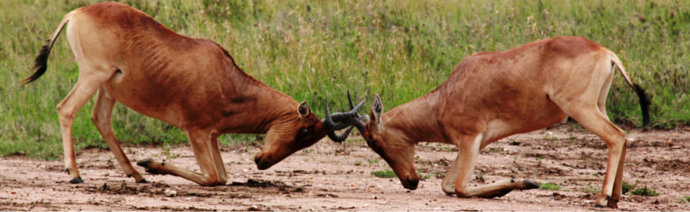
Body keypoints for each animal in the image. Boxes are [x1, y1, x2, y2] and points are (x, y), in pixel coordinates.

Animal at [20, 2, 358, 186]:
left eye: (309, 139)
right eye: (304, 131)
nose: (262, 161)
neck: (224, 76)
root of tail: (76, 13)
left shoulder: (211, 136)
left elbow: (222, 176)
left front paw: (149, 164)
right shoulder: (194, 131)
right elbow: (213, 178)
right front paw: (152, 162)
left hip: (109, 87)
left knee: (100, 119)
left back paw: (136, 174)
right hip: (93, 75)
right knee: (66, 109)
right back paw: (76, 174)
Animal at [330, 36, 648, 207]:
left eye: (375, 142)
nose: (410, 182)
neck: (446, 94)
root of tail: (606, 53)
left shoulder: (470, 139)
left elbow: (459, 188)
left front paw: (524, 182)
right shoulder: (475, 143)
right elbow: (447, 185)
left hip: (580, 108)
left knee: (615, 137)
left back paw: (600, 198)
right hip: (599, 106)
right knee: (623, 137)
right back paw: (615, 199)